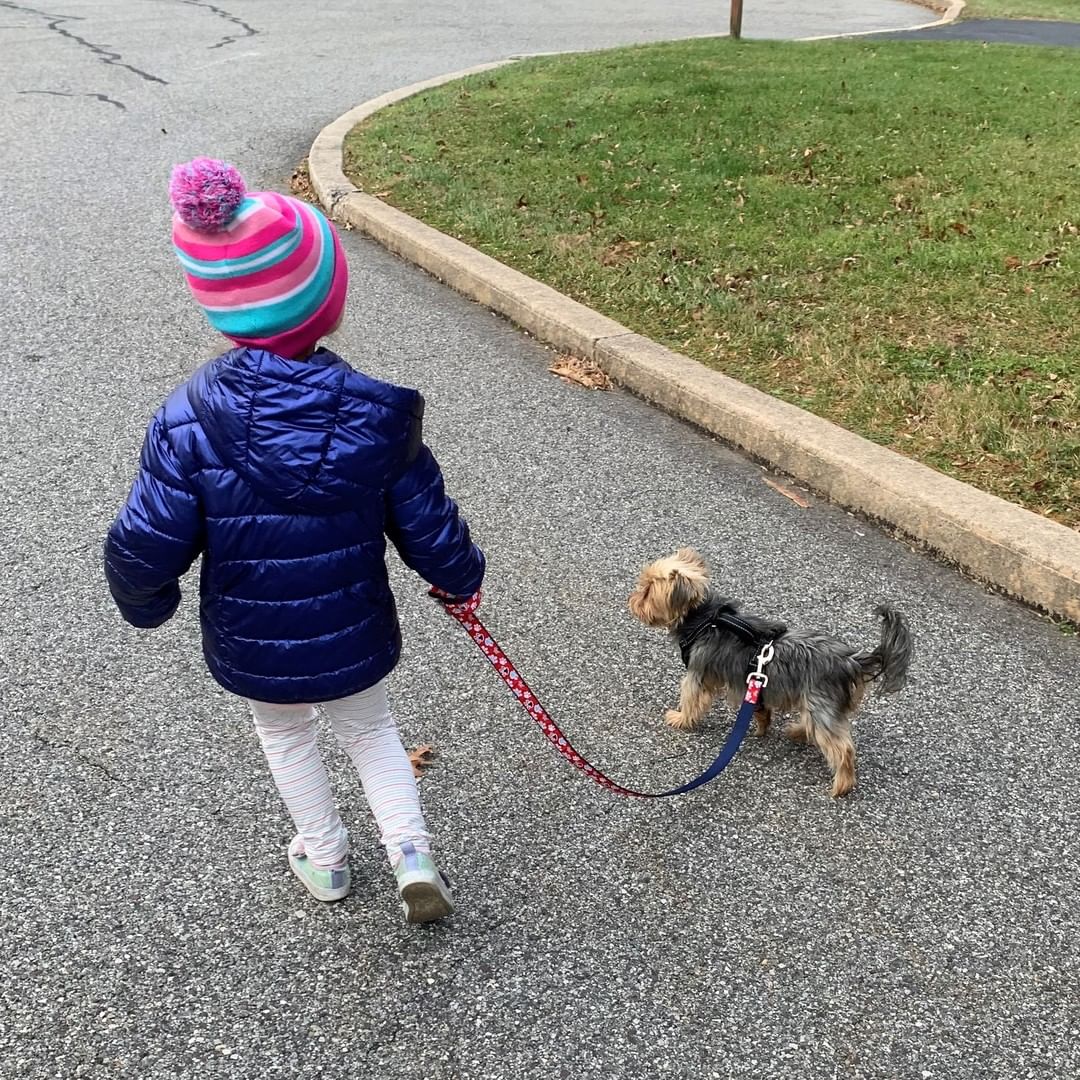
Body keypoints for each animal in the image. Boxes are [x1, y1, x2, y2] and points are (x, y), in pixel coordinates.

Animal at [630, 548, 915, 794]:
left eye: (647, 591)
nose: (632, 600)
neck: (704, 619)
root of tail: (849, 660)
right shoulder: (754, 684)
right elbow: (760, 710)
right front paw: (761, 727)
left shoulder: (698, 673)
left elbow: (691, 698)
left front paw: (680, 719)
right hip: (814, 703)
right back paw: (798, 732)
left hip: (820, 703)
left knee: (841, 747)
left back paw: (842, 786)